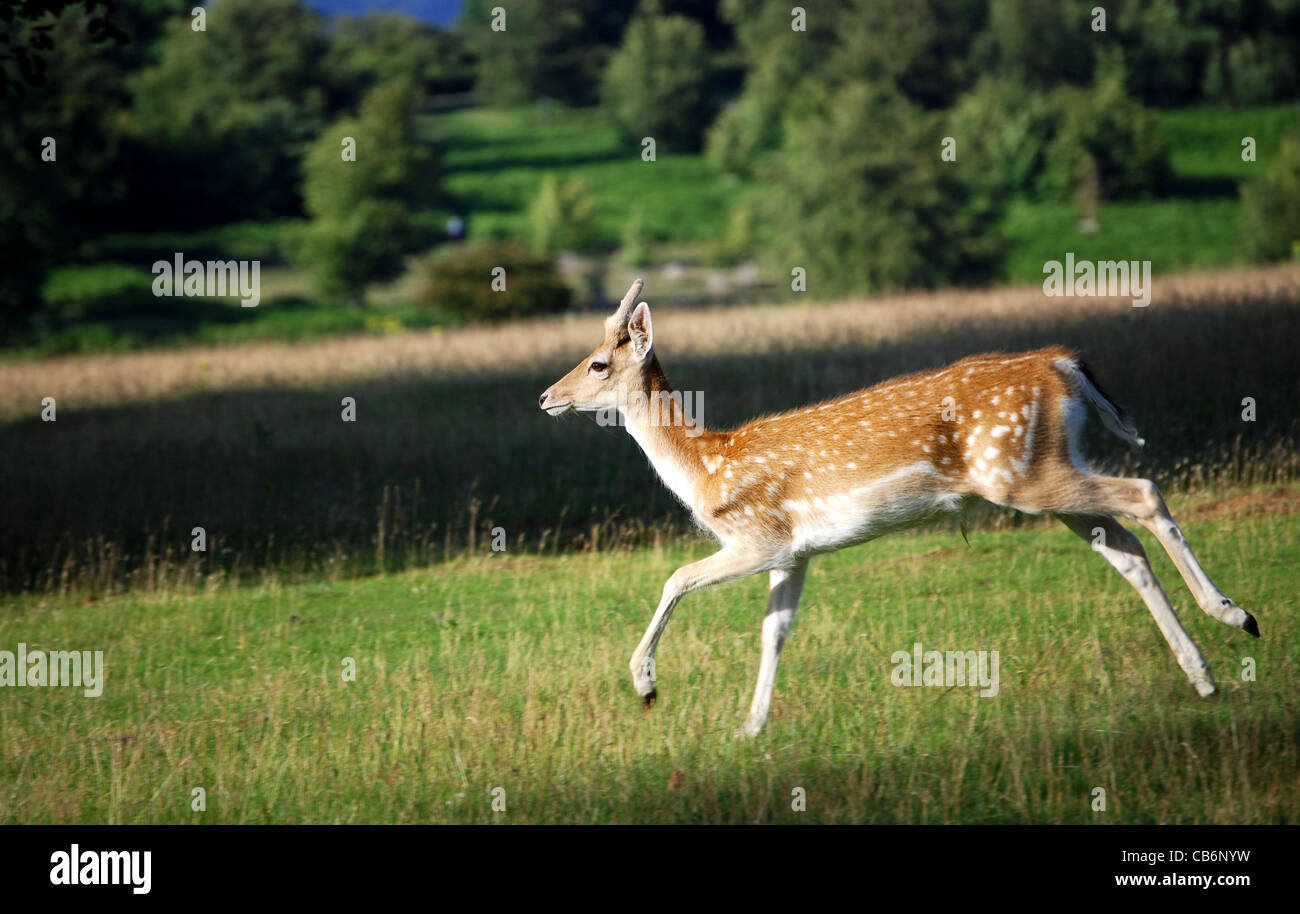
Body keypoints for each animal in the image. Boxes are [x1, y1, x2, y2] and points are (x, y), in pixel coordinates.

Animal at [533, 276, 1253, 738]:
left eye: (597, 364)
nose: (546, 397)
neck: (708, 465)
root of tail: (1062, 366)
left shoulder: (758, 534)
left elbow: (676, 576)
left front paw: (646, 685)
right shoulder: (794, 552)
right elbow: (774, 631)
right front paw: (750, 728)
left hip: (1019, 474)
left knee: (1145, 492)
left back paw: (1237, 615)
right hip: (1046, 468)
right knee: (1124, 547)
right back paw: (1205, 675)